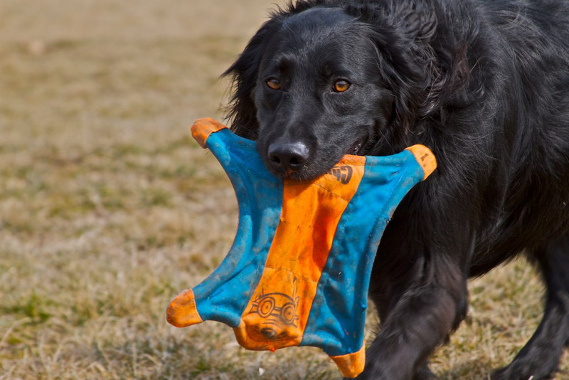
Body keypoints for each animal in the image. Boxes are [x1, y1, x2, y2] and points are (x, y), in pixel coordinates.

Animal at [220, 1, 568, 378]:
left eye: (341, 85)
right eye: (273, 82)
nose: (285, 155)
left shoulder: (434, 265)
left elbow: (394, 347)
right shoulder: (386, 263)